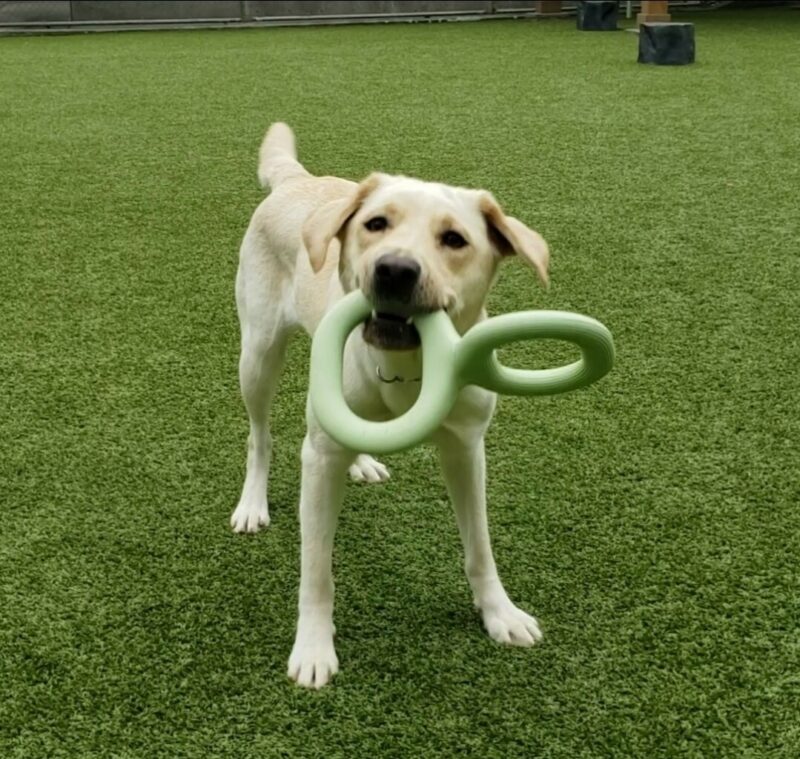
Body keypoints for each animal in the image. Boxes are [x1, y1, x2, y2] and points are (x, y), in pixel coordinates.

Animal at [233, 124, 552, 688]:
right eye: (375, 224)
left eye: (455, 239)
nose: (394, 269)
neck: (407, 365)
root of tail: (299, 181)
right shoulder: (318, 459)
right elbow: (316, 570)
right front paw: (313, 647)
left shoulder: (467, 450)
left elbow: (480, 546)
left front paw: (500, 612)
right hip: (258, 355)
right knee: (259, 436)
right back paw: (252, 504)